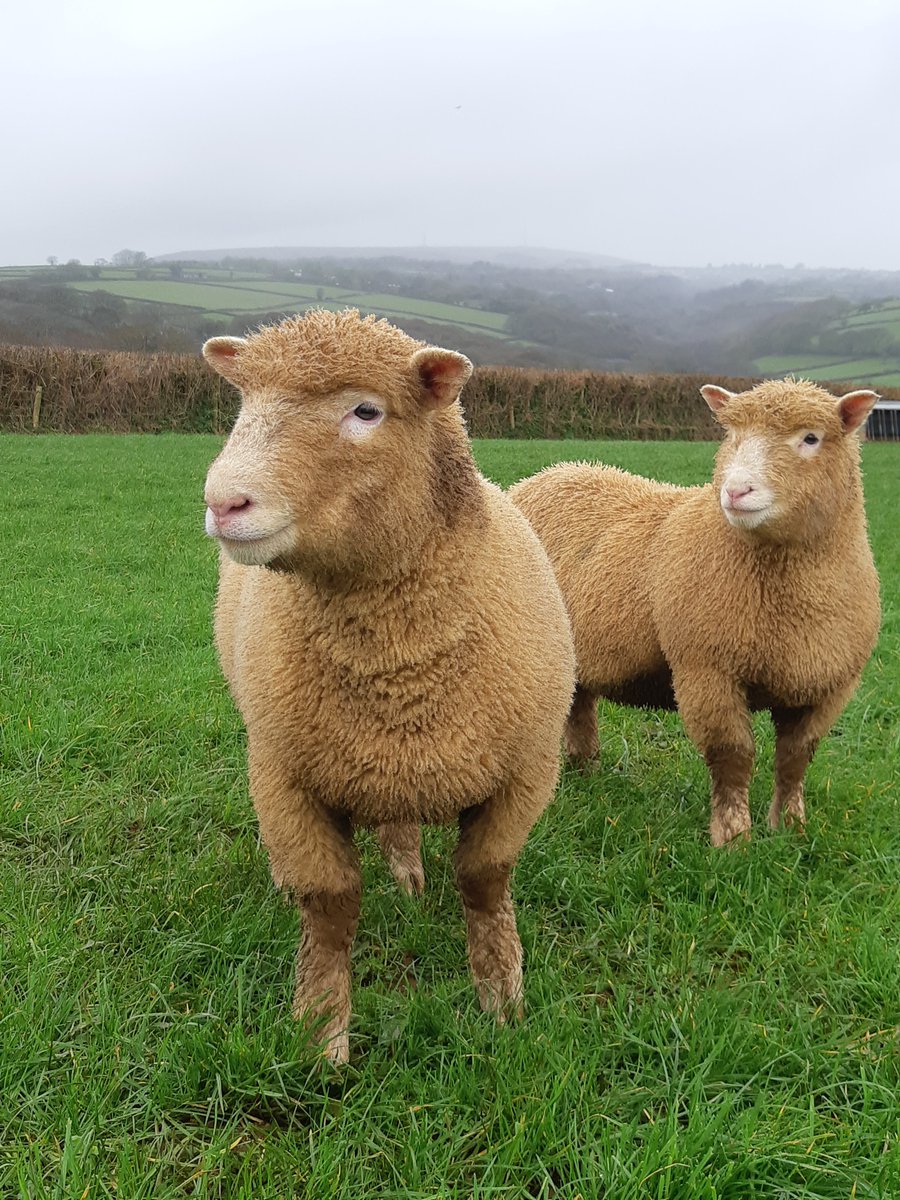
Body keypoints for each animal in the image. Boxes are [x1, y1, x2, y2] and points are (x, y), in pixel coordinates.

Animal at [202, 309, 575, 1062]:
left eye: (366, 410)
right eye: (244, 405)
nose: (223, 501)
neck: (398, 668)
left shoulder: (525, 775)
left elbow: (484, 881)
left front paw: (501, 999)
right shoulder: (285, 780)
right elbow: (329, 904)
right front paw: (322, 1032)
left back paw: (408, 877)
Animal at [509, 378, 881, 847]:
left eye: (811, 438)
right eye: (732, 435)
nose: (736, 491)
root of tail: (549, 473)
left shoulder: (828, 687)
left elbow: (795, 760)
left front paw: (791, 829)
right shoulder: (707, 671)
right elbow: (733, 757)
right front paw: (733, 840)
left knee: (580, 708)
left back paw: (586, 771)